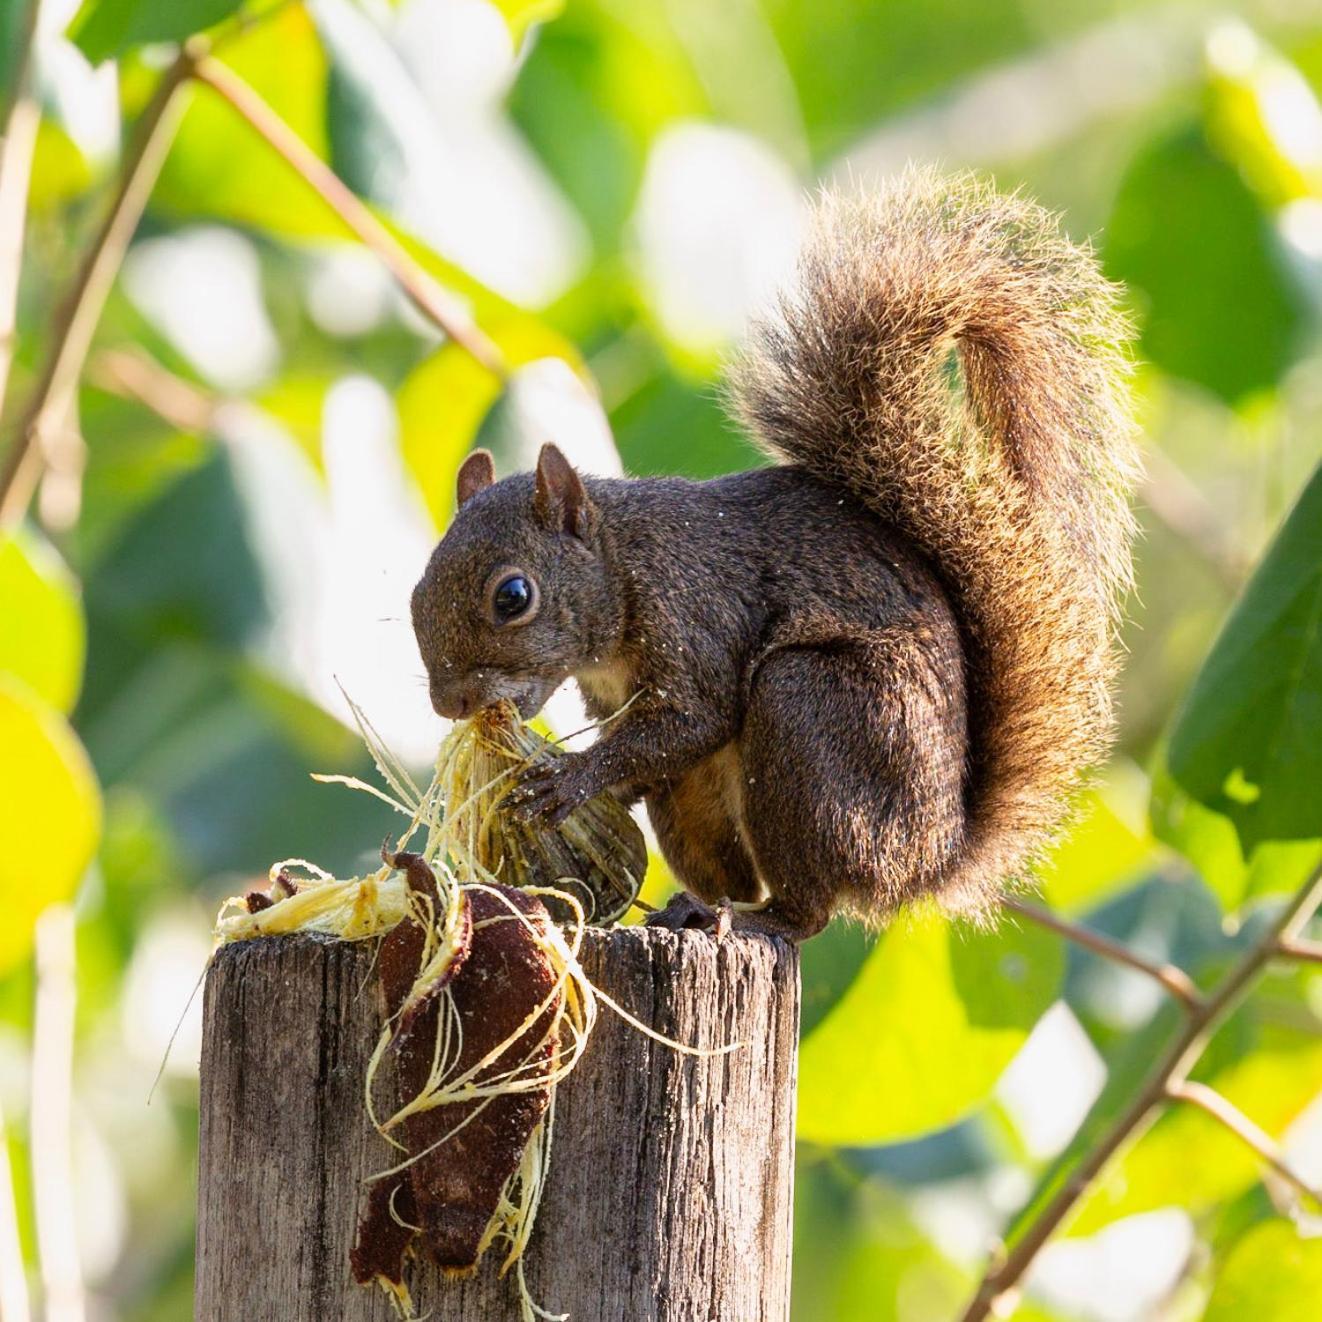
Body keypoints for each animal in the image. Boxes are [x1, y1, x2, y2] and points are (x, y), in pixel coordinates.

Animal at [409, 170, 1136, 941]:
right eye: (415, 594)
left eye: (513, 597)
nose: (451, 704)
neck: (625, 566)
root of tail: (929, 863)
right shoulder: (613, 694)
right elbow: (654, 755)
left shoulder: (697, 613)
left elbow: (693, 720)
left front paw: (570, 778)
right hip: (705, 799)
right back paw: (696, 906)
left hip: (813, 721)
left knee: (808, 907)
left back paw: (761, 918)